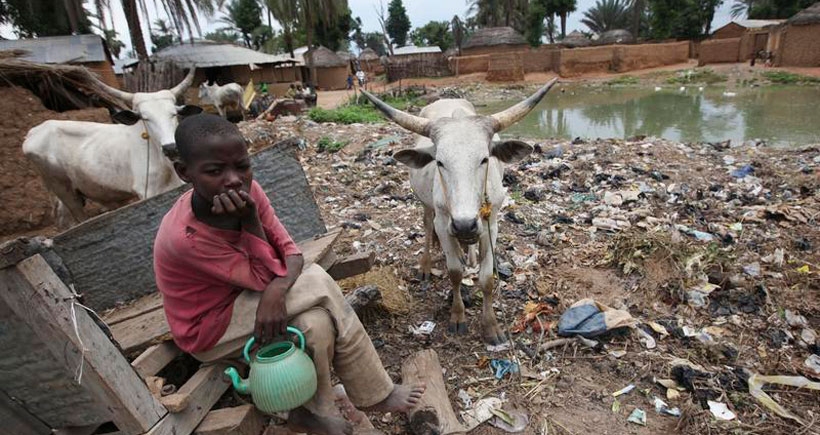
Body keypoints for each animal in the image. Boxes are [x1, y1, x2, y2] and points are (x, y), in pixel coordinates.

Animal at [22, 68, 202, 227]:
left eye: (173, 114)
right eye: (145, 118)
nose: (171, 148)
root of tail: (32, 132)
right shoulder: (147, 193)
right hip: (62, 189)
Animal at [364, 80, 556, 346]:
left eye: (484, 159)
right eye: (440, 162)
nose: (465, 225)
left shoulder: (491, 223)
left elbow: (486, 279)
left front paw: (491, 326)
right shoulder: (445, 222)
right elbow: (454, 272)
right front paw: (457, 316)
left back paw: (470, 254)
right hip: (428, 207)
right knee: (427, 227)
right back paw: (427, 264)